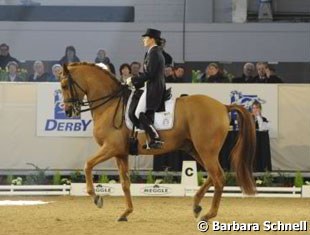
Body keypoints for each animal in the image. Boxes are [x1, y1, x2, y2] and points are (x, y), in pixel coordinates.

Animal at [58, 62, 256, 222]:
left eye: (64, 85)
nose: (68, 111)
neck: (110, 104)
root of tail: (223, 106)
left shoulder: (110, 148)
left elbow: (87, 165)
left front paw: (97, 198)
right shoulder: (120, 153)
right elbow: (125, 183)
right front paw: (125, 213)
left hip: (206, 150)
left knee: (219, 177)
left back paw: (208, 214)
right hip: (195, 149)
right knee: (214, 175)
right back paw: (196, 205)